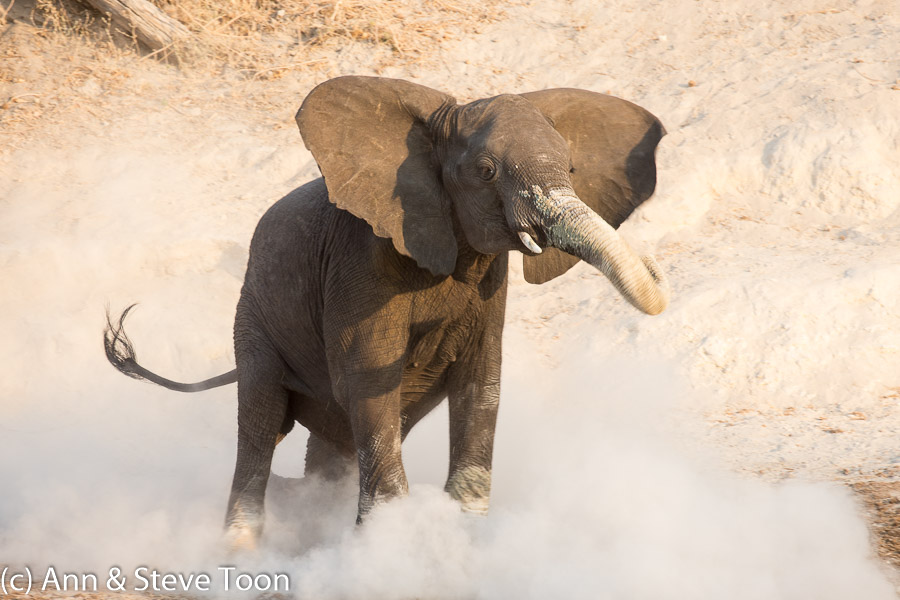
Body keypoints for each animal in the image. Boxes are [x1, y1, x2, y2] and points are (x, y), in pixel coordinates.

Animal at [103, 76, 669, 550]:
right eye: (486, 172)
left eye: (572, 170)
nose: (658, 268)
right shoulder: (360, 262)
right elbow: (365, 382)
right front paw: (396, 546)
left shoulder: (491, 281)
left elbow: (480, 382)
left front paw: (461, 538)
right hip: (254, 318)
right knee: (262, 423)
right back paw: (240, 550)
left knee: (335, 440)